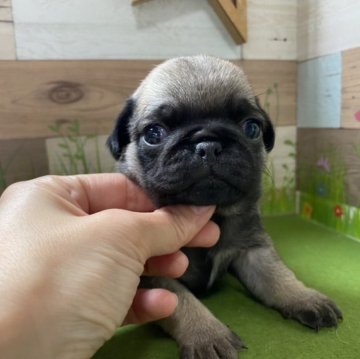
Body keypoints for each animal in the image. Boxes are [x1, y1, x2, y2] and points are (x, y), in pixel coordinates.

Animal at [106, 54, 340, 358]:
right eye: (154, 133)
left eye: (251, 128)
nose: (207, 144)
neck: (214, 215)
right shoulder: (156, 273)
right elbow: (182, 302)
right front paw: (207, 334)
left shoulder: (253, 250)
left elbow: (277, 276)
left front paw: (304, 297)